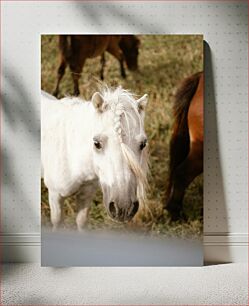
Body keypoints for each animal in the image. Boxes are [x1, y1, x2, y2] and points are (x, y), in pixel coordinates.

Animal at [41, 86, 149, 230]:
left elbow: (81, 221)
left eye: (143, 144)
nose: (123, 208)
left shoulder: (87, 193)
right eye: (97, 143)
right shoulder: (55, 195)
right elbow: (57, 222)